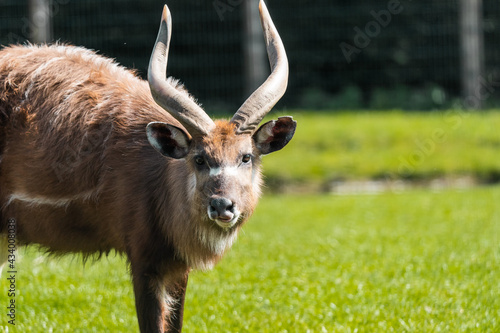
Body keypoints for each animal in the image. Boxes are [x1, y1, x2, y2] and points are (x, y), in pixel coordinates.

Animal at [0, 1, 294, 330]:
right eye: (199, 158)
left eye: (246, 157)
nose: (222, 205)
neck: (159, 176)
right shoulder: (143, 259)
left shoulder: (178, 269)